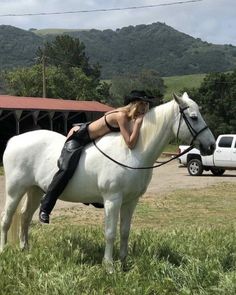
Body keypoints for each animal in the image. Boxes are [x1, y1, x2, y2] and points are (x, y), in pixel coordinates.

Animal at [0, 93, 216, 272]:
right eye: (194, 117)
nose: (211, 145)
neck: (131, 152)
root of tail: (14, 140)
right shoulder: (113, 200)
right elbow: (110, 232)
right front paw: (109, 266)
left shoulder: (130, 201)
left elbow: (125, 231)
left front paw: (124, 263)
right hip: (15, 190)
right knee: (7, 218)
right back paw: (4, 251)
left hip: (34, 190)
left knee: (25, 217)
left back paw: (25, 249)